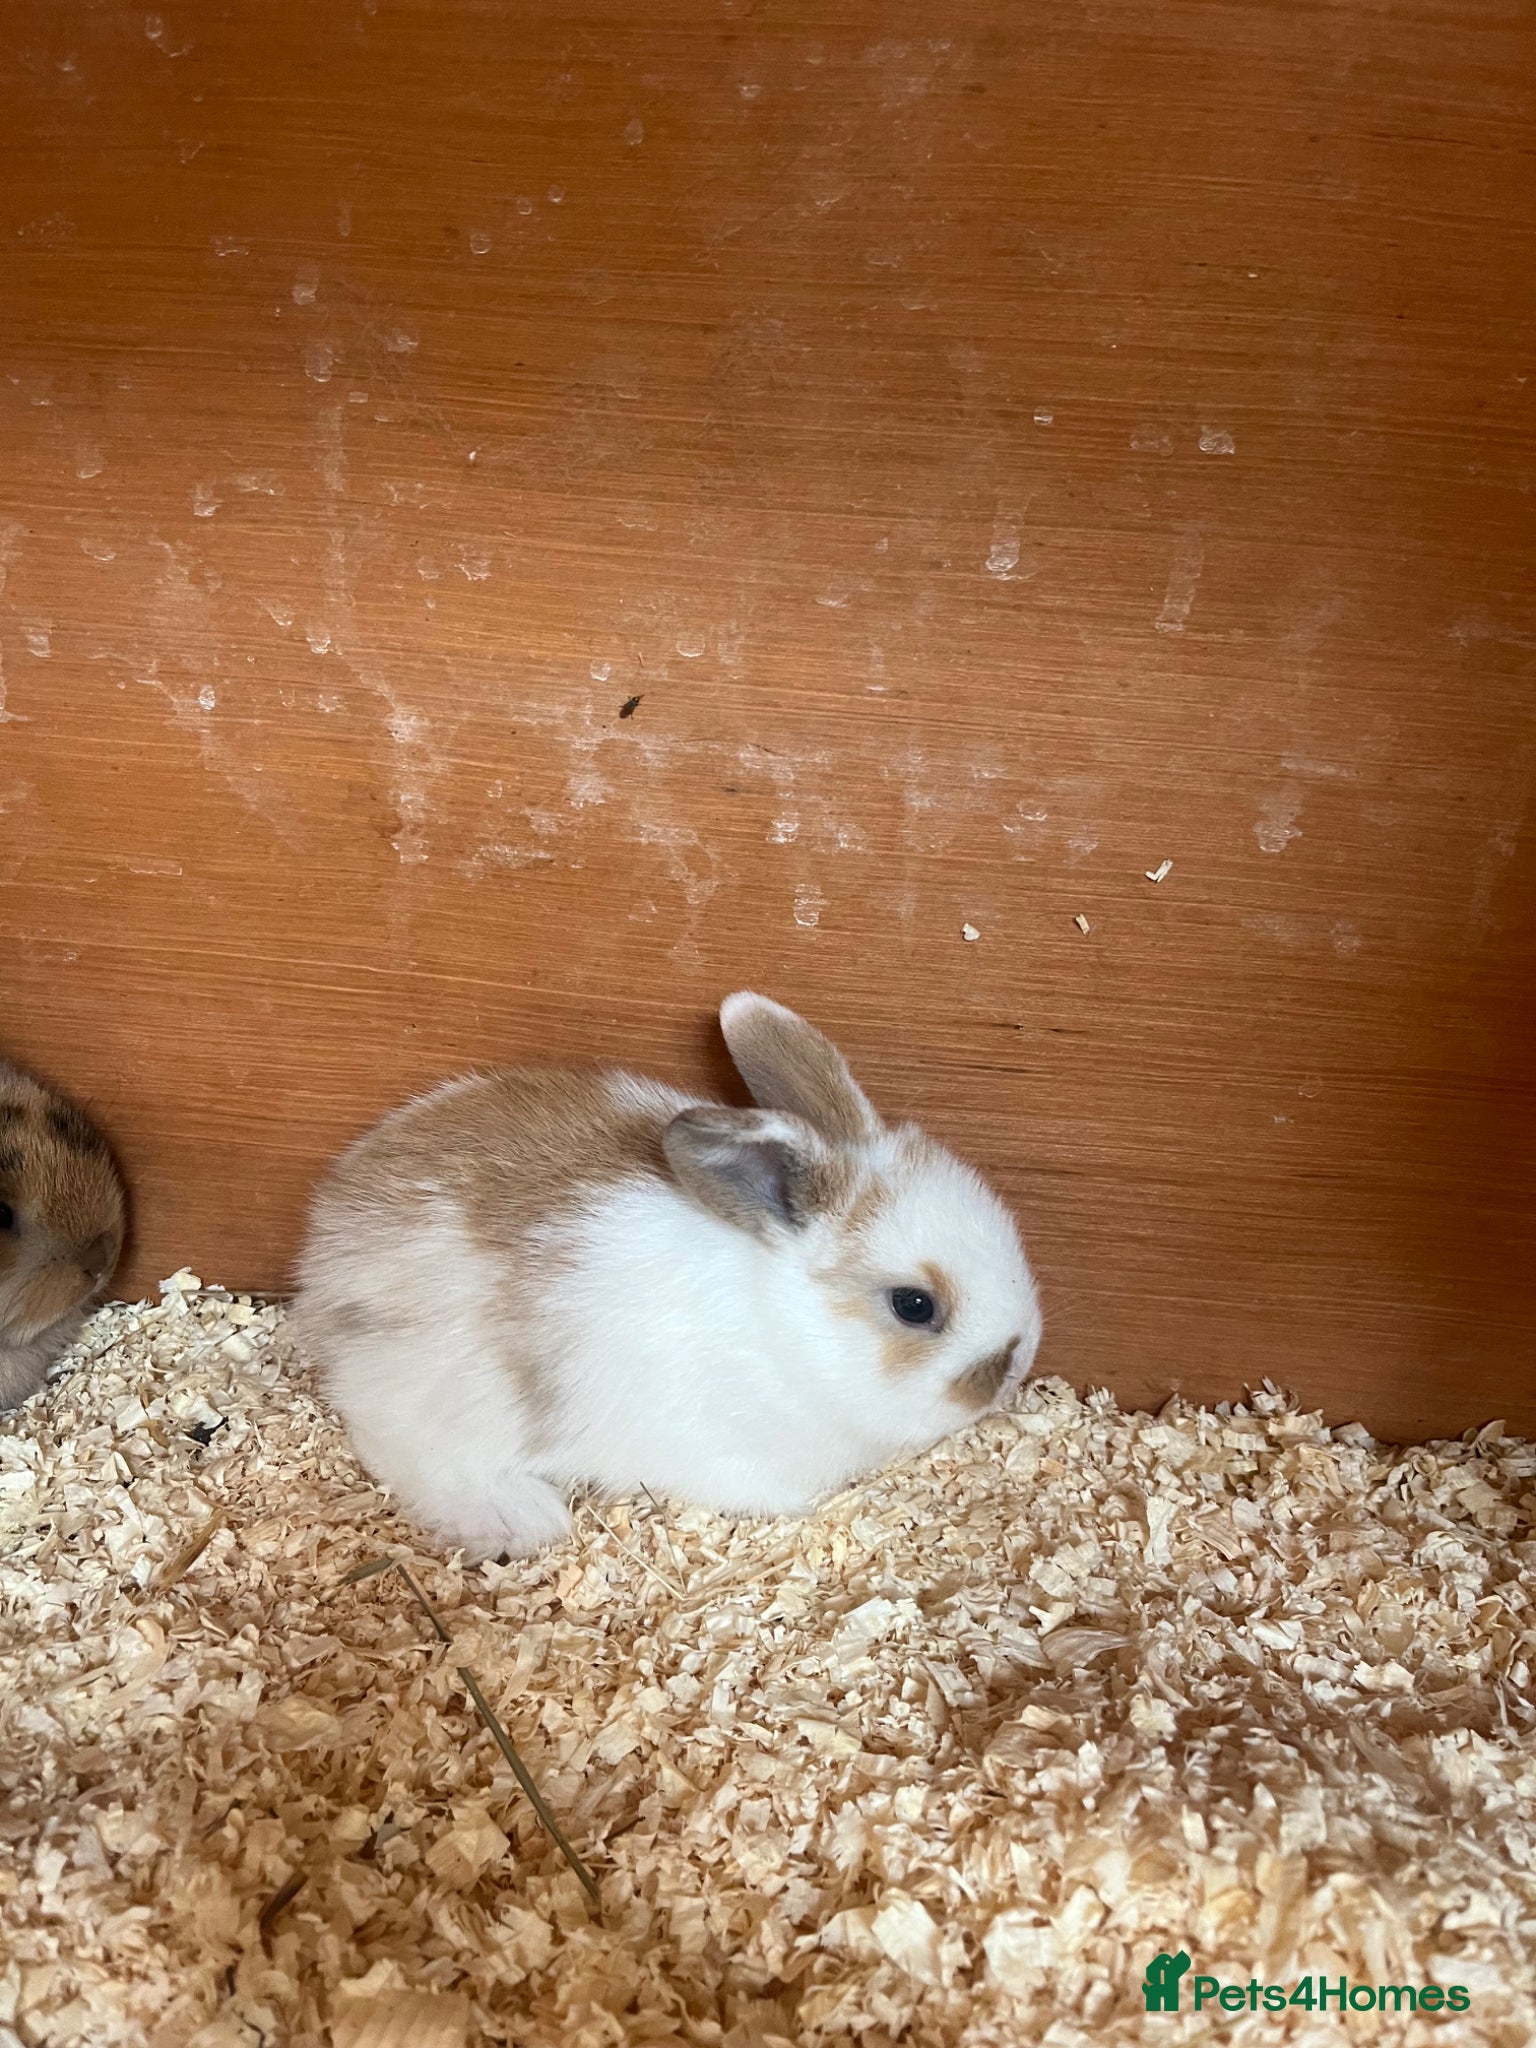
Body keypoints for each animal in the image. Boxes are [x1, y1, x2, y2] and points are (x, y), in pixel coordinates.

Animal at [294, 993, 1041, 1558]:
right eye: (915, 1305)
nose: (1016, 1363)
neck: (786, 1333)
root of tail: (329, 1251)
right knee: (398, 1444)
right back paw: (523, 1518)